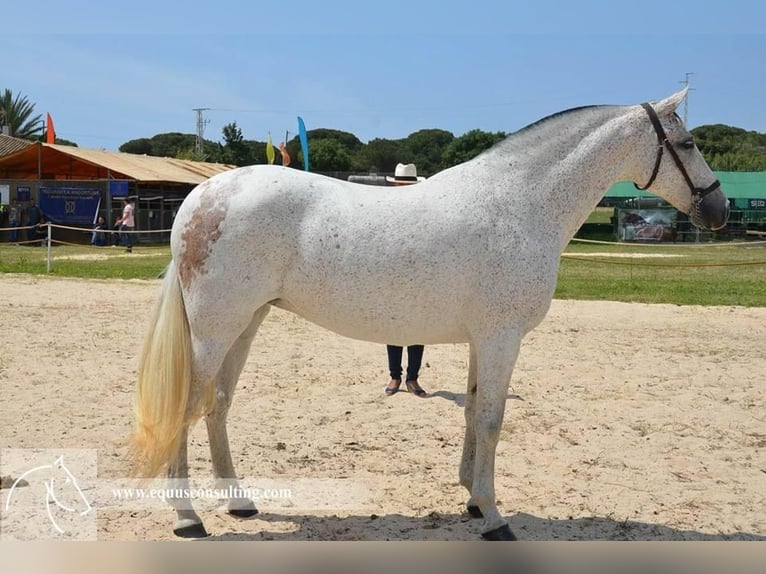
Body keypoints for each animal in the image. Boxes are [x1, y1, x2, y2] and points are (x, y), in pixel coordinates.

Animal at [132, 88, 732, 544]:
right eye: (687, 142)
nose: (719, 209)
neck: (520, 204)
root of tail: (202, 195)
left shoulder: (482, 340)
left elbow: (473, 411)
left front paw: (472, 499)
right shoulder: (502, 337)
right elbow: (491, 420)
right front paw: (494, 517)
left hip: (245, 324)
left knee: (218, 405)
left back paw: (239, 502)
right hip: (214, 330)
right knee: (187, 406)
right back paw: (188, 518)